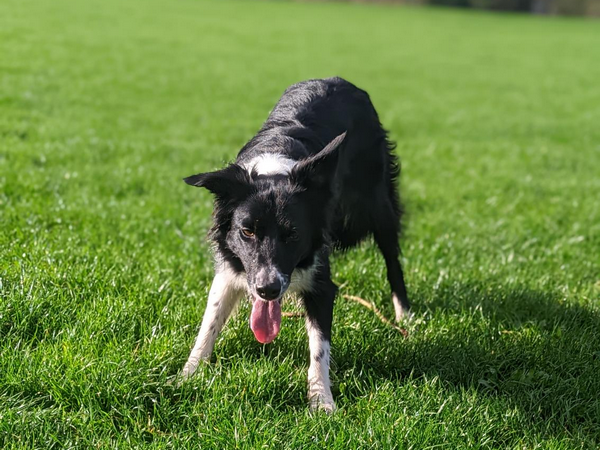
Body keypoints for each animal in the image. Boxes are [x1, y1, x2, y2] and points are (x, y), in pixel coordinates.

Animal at [180, 77, 410, 412]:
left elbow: (319, 347)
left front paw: (321, 402)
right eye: (247, 232)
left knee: (392, 257)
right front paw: (186, 376)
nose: (268, 290)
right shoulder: (232, 269)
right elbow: (209, 324)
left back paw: (405, 316)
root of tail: (339, 80)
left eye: (293, 234)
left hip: (377, 201)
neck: (274, 171)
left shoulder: (320, 279)